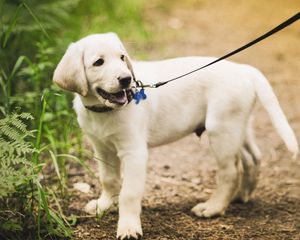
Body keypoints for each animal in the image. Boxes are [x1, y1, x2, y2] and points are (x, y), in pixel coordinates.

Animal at [52, 32, 298, 239]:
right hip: (238, 125)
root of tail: (243, 69)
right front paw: (103, 205)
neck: (104, 111)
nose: (126, 79)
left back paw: (213, 207)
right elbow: (109, 180)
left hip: (222, 129)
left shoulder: (134, 152)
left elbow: (129, 193)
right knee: (252, 158)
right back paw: (242, 195)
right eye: (98, 62)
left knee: (230, 171)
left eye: (122, 57)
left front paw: (128, 227)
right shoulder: (101, 148)